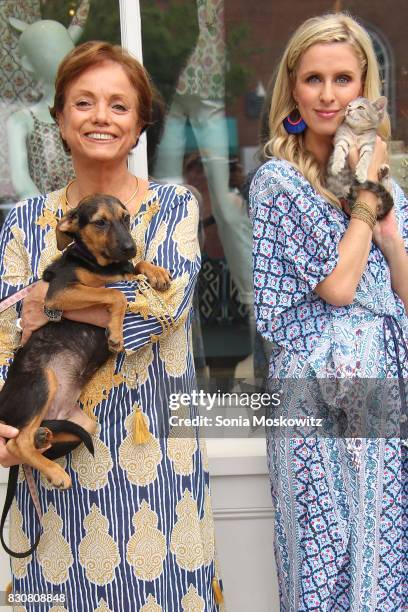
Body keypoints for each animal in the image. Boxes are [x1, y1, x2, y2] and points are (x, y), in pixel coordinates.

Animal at [0, 194, 170, 528]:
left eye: (126, 217)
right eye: (100, 222)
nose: (130, 247)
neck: (98, 263)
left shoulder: (122, 273)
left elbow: (135, 272)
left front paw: (155, 271)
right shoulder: (60, 293)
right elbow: (115, 296)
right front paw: (115, 335)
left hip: (85, 424)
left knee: (40, 439)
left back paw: (43, 436)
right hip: (42, 380)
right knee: (17, 443)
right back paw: (55, 472)